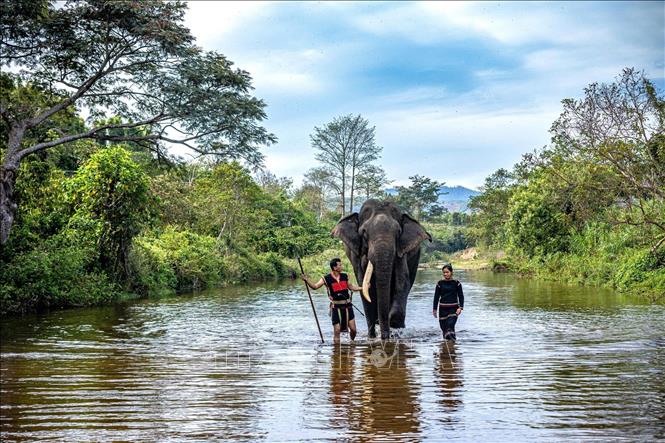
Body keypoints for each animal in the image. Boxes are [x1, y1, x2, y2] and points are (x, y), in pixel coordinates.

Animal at [330, 201, 430, 340]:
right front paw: (374, 334)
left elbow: (403, 282)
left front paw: (392, 322)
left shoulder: (401, 251)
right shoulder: (357, 256)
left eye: (398, 232)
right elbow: (364, 286)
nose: (385, 336)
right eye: (364, 232)